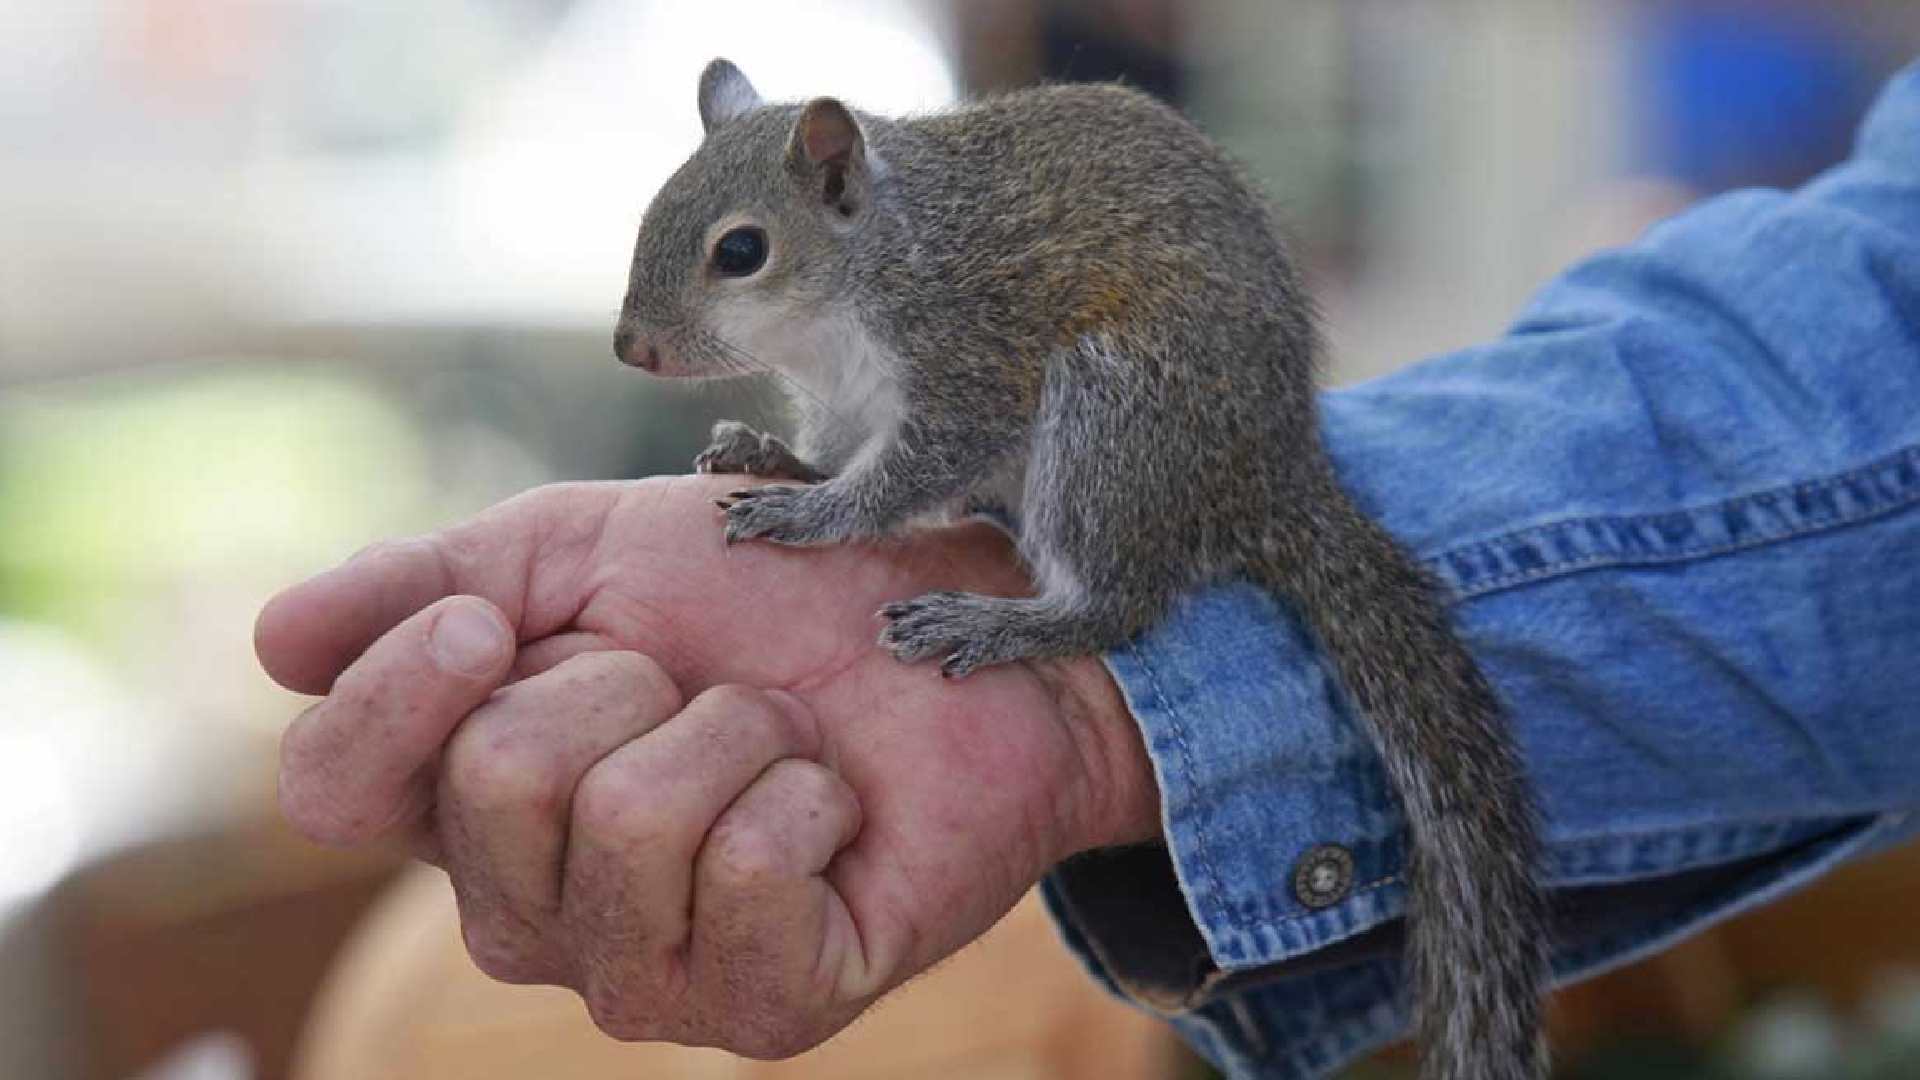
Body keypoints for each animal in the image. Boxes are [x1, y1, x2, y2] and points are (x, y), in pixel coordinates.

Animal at [614, 58, 1549, 1080]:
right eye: (650, 209)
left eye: (741, 250)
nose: (630, 348)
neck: (870, 271)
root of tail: (1270, 475)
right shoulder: (849, 399)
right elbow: (836, 451)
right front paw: (776, 457)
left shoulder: (970, 357)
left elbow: (910, 475)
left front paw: (811, 515)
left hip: (1116, 415)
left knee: (1116, 607)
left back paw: (1000, 624)